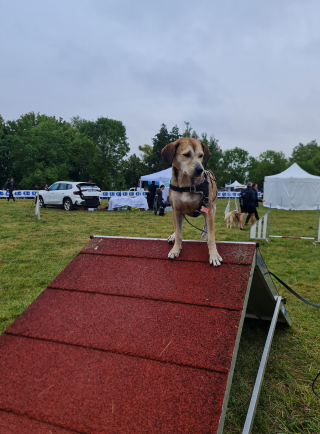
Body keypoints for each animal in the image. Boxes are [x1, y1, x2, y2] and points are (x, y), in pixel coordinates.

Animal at [161, 137, 221, 266]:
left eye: (201, 155)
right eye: (186, 154)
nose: (200, 170)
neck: (186, 184)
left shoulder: (207, 210)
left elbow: (211, 237)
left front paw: (214, 255)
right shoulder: (176, 211)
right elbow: (179, 233)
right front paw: (175, 249)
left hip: (212, 209)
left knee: (205, 230)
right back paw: (173, 236)